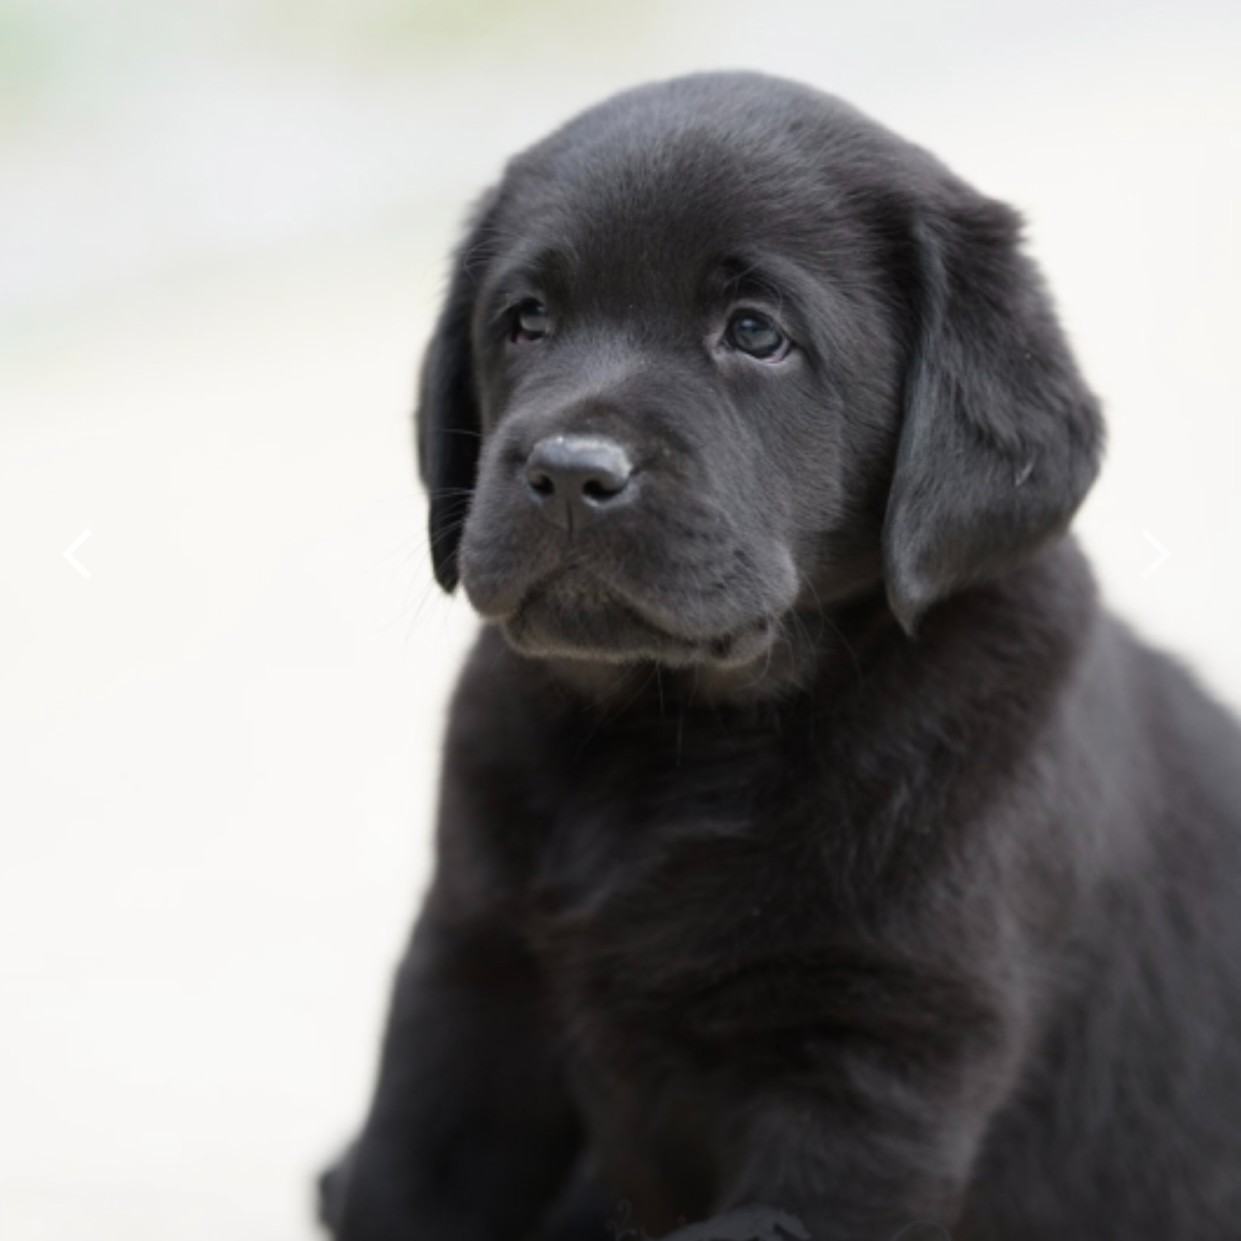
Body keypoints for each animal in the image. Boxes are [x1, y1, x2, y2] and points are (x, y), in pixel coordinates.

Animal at [320, 72, 1241, 1236]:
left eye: (755, 332)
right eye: (524, 321)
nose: (568, 470)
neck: (673, 739)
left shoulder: (880, 1065)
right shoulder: (468, 974)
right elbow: (404, 1178)